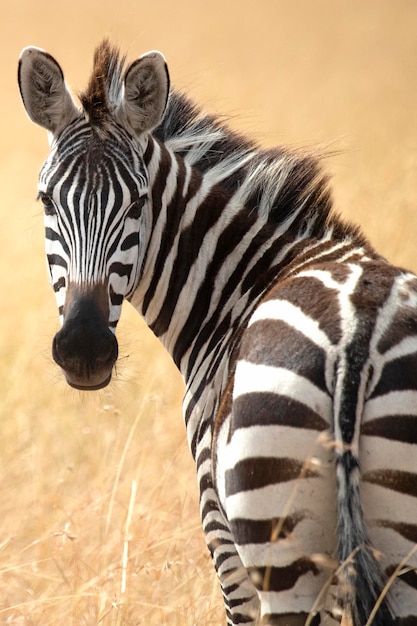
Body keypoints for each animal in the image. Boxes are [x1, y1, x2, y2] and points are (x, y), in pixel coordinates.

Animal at [18, 40, 416, 624]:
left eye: (138, 203)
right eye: (47, 201)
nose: (84, 350)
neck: (248, 280)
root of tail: (356, 332)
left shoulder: (222, 537)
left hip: (277, 544)